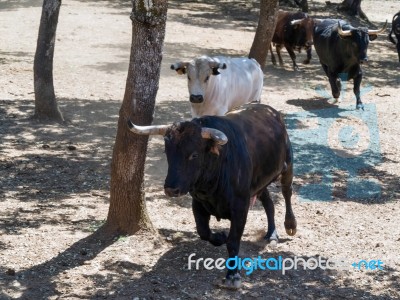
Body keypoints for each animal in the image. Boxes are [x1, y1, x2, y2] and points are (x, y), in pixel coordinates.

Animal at [128, 103, 296, 286]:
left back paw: (290, 225)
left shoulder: (240, 206)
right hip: (259, 181)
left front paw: (232, 275)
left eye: (194, 154)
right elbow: (203, 232)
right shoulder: (198, 203)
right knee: (268, 202)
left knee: (287, 193)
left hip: (287, 165)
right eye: (168, 153)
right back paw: (271, 233)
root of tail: (271, 111)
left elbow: (233, 241)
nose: (171, 189)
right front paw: (220, 237)